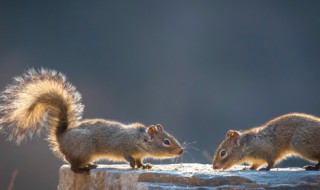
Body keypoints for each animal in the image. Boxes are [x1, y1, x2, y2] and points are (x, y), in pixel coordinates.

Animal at [0, 68, 184, 174]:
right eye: (166, 141)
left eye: (171, 138)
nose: (181, 150)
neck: (139, 138)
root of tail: (61, 138)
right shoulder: (120, 144)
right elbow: (126, 155)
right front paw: (132, 163)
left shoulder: (140, 154)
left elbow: (140, 161)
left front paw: (143, 166)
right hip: (83, 147)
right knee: (72, 166)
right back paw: (82, 169)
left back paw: (89, 166)